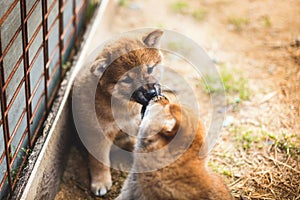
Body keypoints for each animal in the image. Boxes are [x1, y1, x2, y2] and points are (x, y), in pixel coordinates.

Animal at [74, 30, 164, 197]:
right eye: (127, 80)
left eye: (150, 69)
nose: (151, 93)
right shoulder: (98, 135)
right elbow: (100, 162)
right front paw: (100, 182)